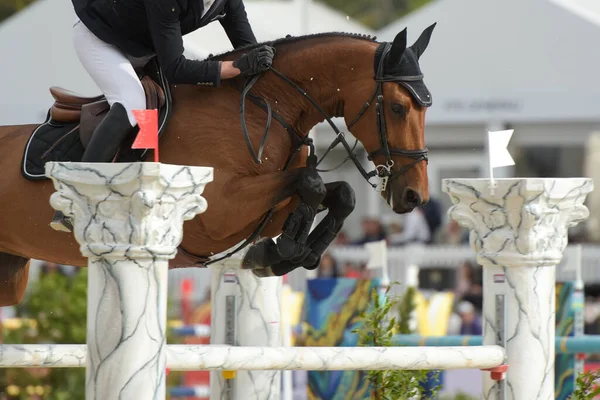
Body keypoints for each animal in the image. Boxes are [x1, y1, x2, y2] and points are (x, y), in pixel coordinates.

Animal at [0, 24, 436, 306]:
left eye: (425, 109)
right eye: (398, 107)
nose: (415, 196)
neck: (265, 108)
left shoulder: (267, 210)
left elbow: (337, 192)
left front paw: (288, 255)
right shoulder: (219, 212)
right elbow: (309, 182)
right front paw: (286, 250)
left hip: (11, 275)